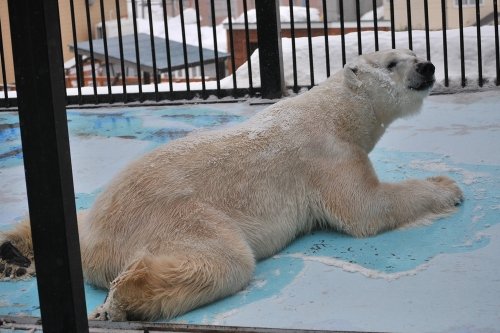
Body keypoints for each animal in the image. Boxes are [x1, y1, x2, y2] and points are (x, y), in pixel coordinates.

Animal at [0, 48, 462, 320]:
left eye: (413, 51)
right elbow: (366, 209)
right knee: (225, 260)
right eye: (392, 62)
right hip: (177, 215)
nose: (428, 66)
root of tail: (99, 244)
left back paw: (13, 251)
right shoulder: (328, 156)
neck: (337, 112)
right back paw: (122, 298)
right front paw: (448, 187)